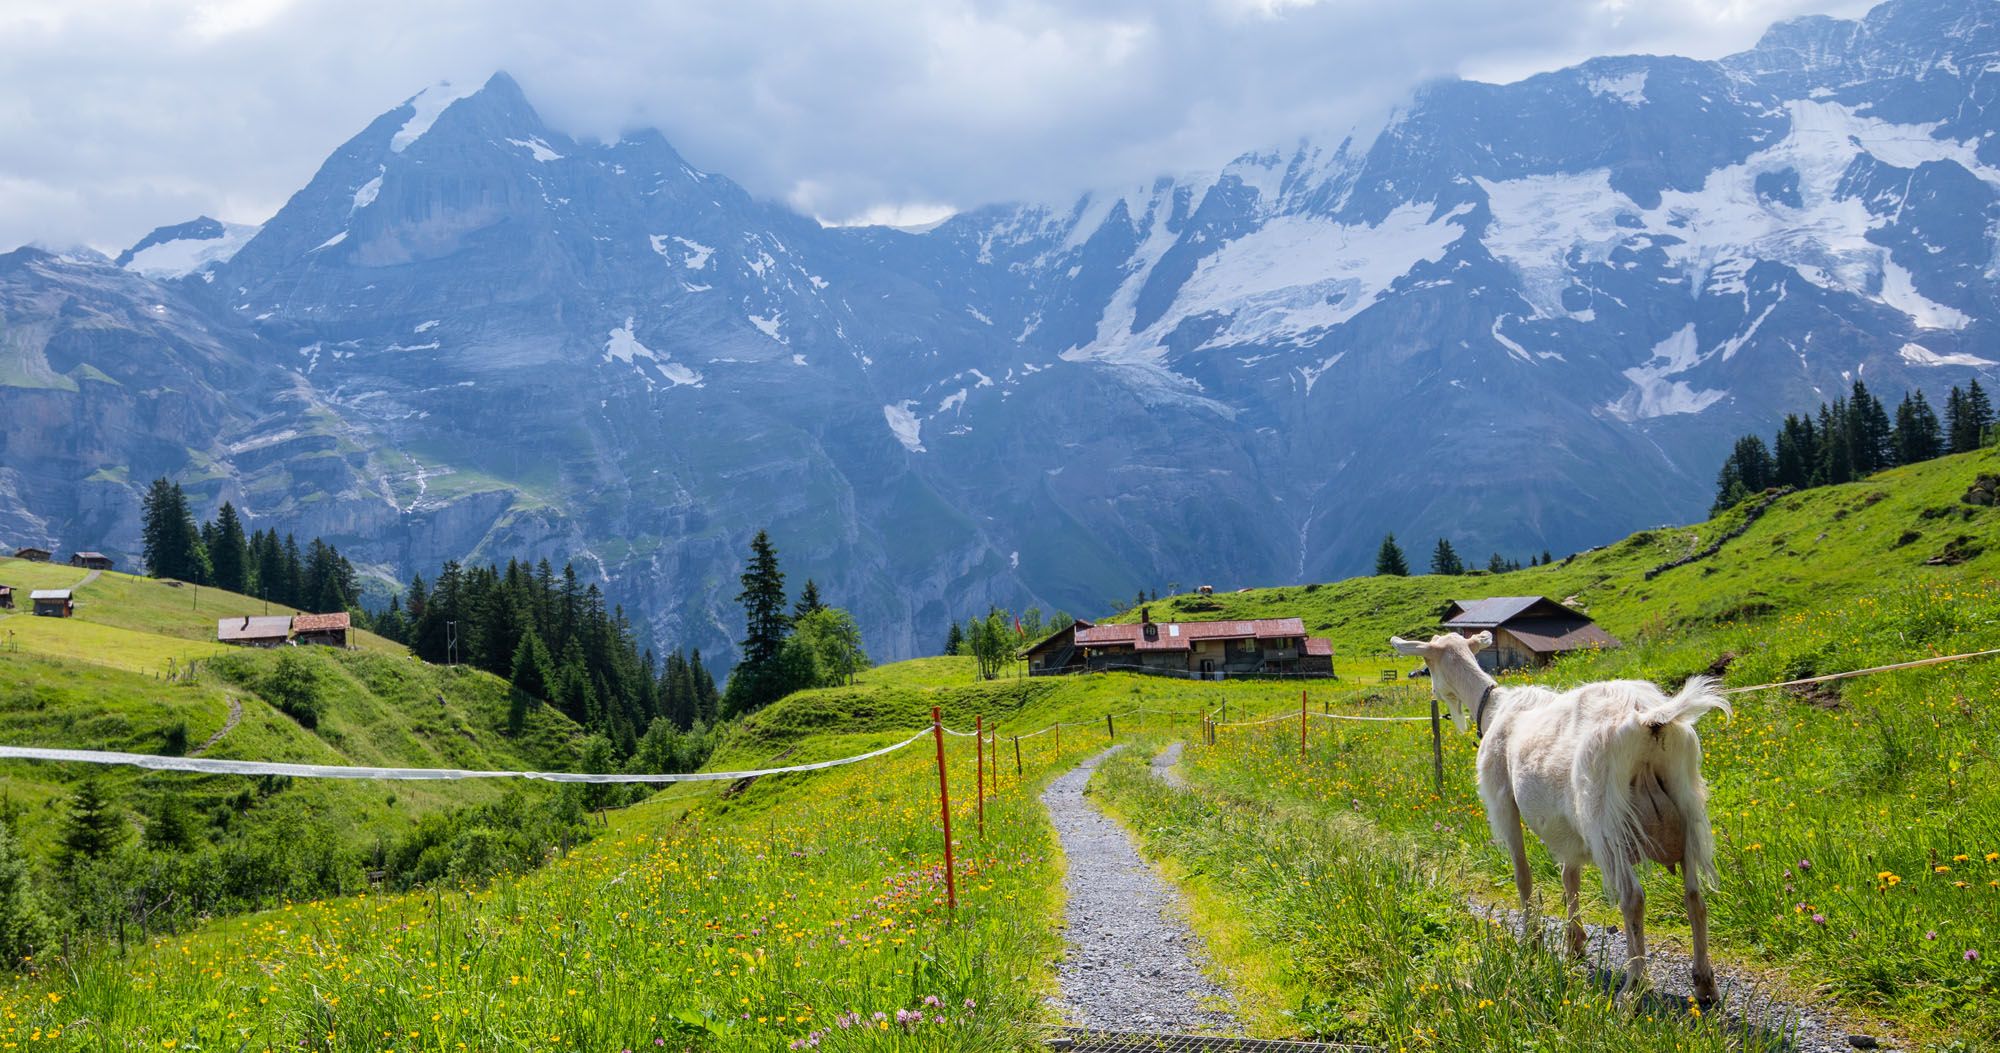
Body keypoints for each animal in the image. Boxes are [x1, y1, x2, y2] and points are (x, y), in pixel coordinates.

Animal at [1392, 632, 1736, 1004]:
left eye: (1427, 664)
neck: (1495, 709)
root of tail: (1649, 719)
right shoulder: (1566, 828)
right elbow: (1569, 878)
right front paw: (1574, 942)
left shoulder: (1503, 800)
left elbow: (1523, 876)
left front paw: (1533, 940)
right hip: (1686, 805)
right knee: (1695, 898)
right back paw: (1705, 984)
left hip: (1603, 818)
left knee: (1633, 898)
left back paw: (1633, 988)